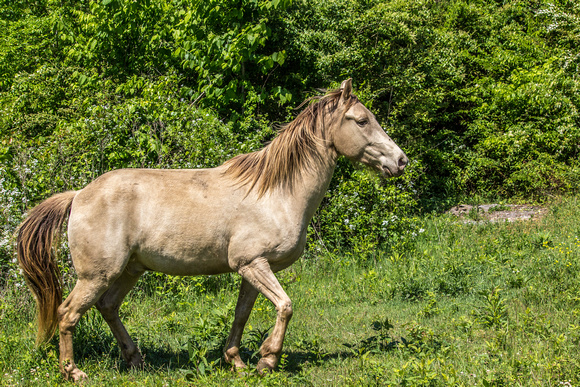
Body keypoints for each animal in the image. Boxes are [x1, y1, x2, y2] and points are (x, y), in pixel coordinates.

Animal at [17, 79, 408, 382]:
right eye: (362, 120)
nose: (400, 161)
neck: (276, 192)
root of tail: (78, 195)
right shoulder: (254, 264)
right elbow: (285, 306)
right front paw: (267, 360)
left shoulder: (252, 268)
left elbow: (242, 314)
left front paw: (237, 361)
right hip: (98, 274)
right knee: (67, 314)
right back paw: (73, 372)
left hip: (129, 270)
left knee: (109, 307)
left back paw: (136, 361)